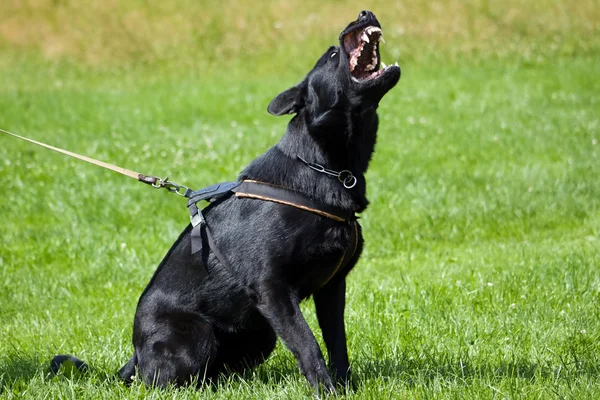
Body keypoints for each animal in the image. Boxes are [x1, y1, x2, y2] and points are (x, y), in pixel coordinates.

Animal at [54, 9, 398, 394]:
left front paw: (344, 388)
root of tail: (134, 356)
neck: (321, 166)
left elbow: (337, 343)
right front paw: (325, 391)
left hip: (261, 334)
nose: (364, 13)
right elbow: (308, 343)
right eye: (332, 55)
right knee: (165, 381)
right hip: (198, 334)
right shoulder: (272, 289)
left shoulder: (332, 289)